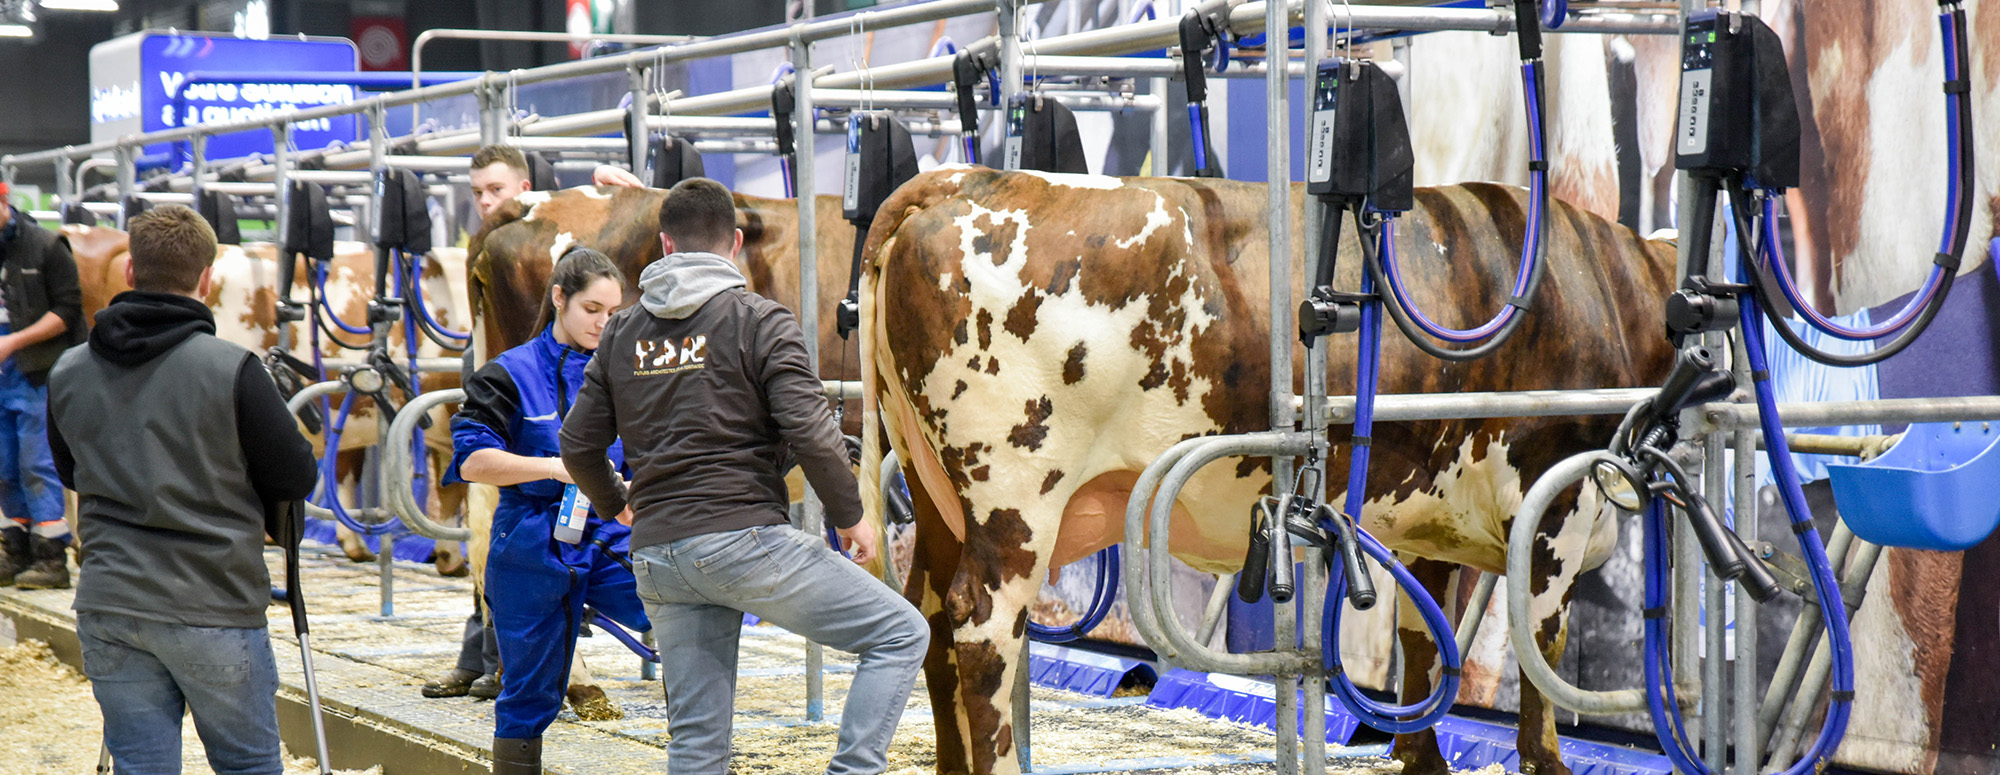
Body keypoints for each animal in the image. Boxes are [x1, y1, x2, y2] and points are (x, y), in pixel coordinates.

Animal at [852, 169, 1680, 775]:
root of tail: (958, 179)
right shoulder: (1556, 498)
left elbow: (1423, 636)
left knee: (930, 615)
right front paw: (1546, 760)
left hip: (936, 493)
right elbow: (1541, 640)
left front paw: (1421, 757)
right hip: (1015, 494)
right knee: (981, 622)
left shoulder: (1428, 512)